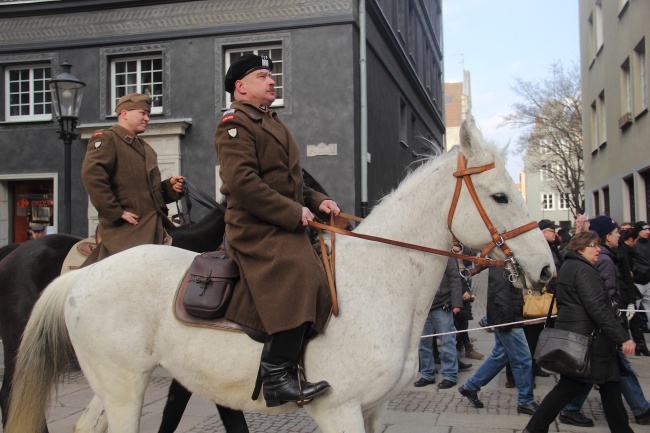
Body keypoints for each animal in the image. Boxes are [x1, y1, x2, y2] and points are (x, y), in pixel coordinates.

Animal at [5, 119, 552, 432]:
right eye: (500, 196)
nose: (546, 267)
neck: (379, 281)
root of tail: (83, 277)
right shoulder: (341, 411)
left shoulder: (374, 410)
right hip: (124, 385)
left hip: (110, 384)